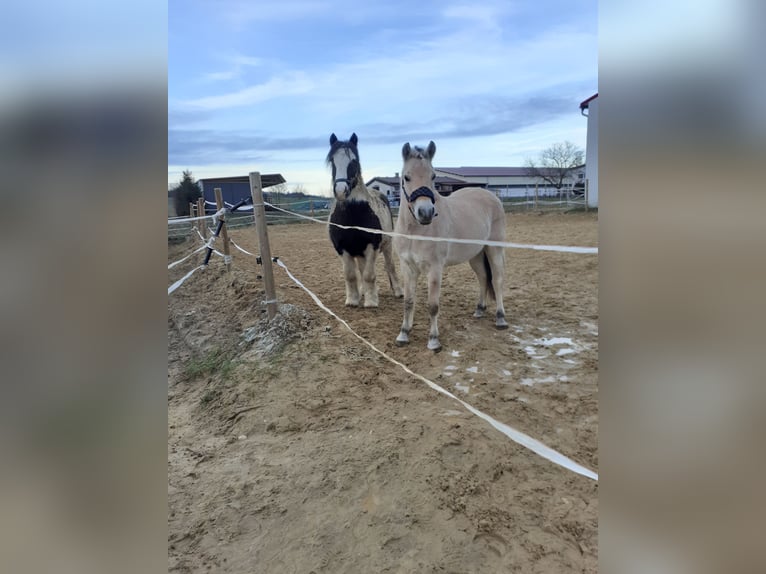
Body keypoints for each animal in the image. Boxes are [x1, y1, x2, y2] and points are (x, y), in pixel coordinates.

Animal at [328, 133, 404, 308]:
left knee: (389, 266)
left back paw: (398, 291)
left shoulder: (372, 246)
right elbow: (351, 275)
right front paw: (353, 300)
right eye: (332, 161)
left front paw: (371, 301)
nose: (341, 191)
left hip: (387, 245)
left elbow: (370, 275)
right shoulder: (342, 248)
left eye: (354, 162)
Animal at [396, 142, 510, 354]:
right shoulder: (407, 267)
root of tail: (492, 196)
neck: (416, 231)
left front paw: (434, 340)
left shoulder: (434, 268)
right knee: (483, 278)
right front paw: (403, 334)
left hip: (494, 250)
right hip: (475, 255)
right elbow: (408, 302)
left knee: (497, 280)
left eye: (433, 176)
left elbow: (433, 305)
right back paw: (479, 310)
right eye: (406, 177)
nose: (426, 213)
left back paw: (500, 318)